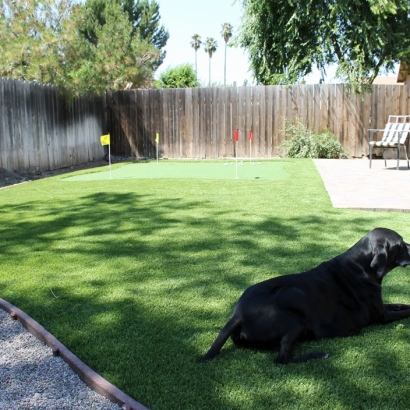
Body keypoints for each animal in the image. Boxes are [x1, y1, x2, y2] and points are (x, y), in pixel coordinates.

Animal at [200, 227, 410, 366]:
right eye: (400, 244)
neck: (362, 266)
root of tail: (237, 315)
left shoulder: (382, 307)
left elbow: (402, 304)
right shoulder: (381, 316)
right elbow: (404, 311)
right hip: (294, 303)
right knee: (282, 359)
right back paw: (318, 355)